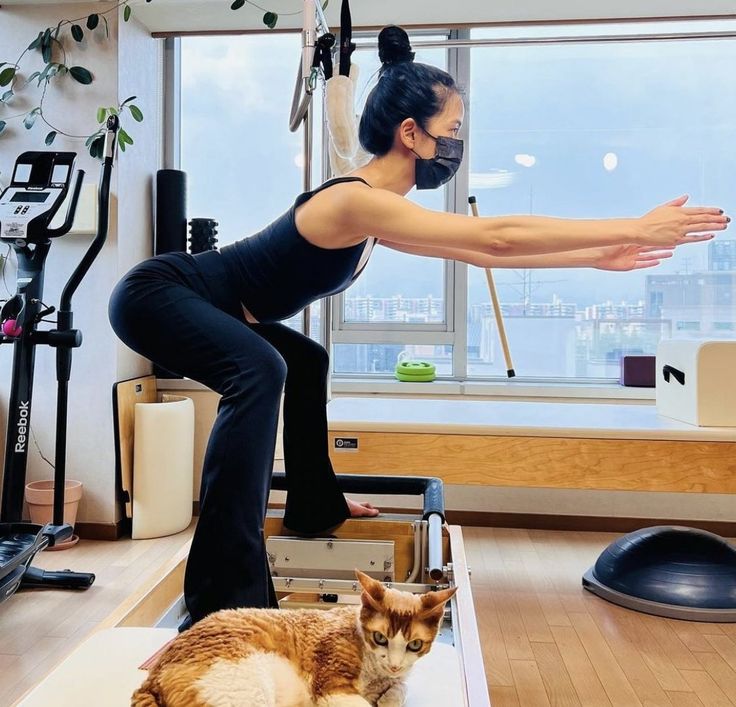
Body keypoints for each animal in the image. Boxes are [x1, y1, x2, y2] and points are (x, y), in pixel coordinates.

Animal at [131, 568, 454, 707]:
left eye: (415, 645)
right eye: (380, 638)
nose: (396, 664)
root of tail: (151, 679)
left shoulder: (394, 680)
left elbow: (400, 689)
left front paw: (390, 696)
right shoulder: (333, 688)